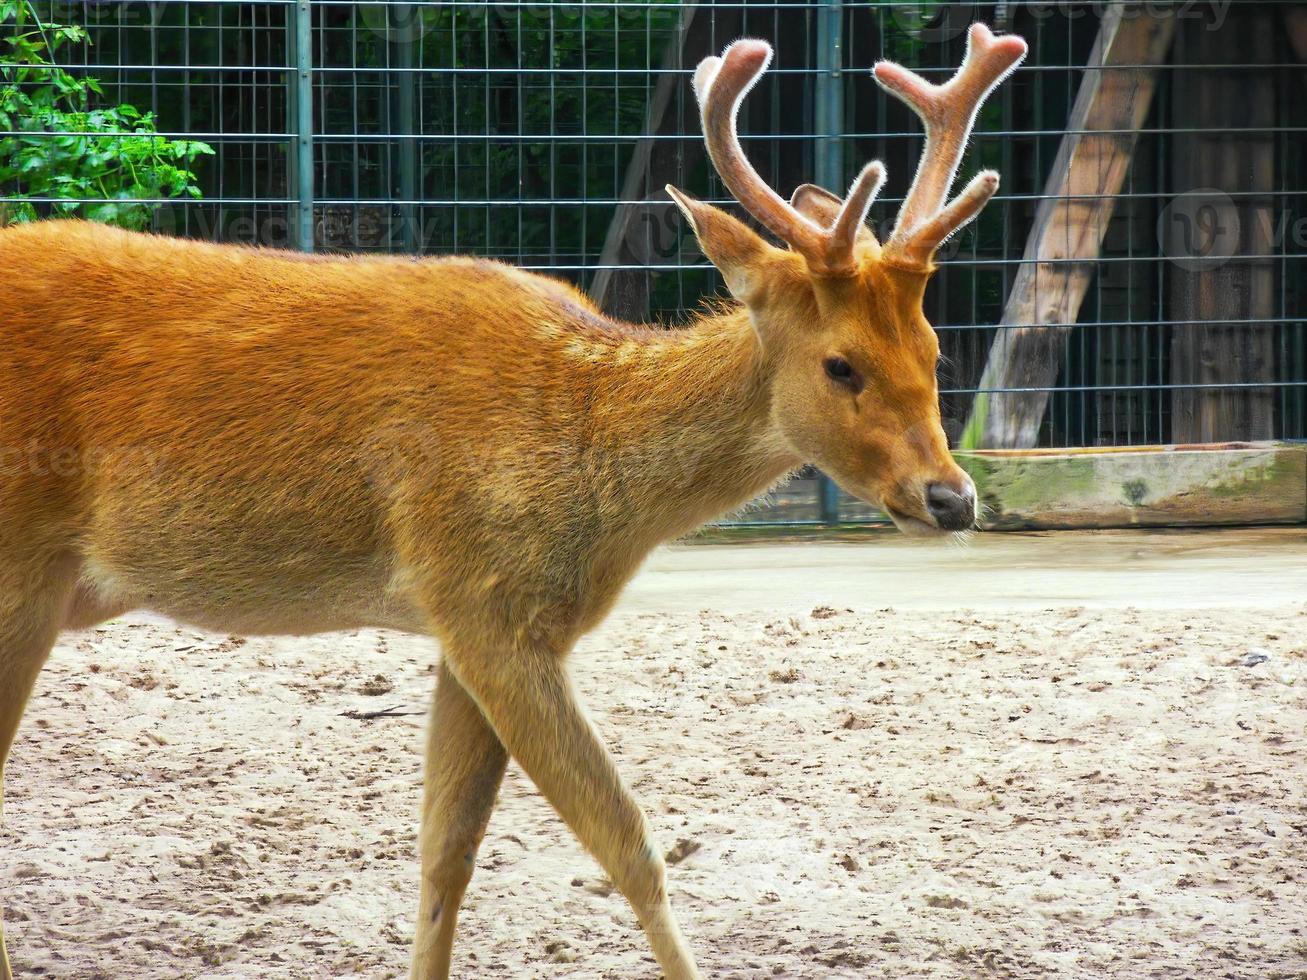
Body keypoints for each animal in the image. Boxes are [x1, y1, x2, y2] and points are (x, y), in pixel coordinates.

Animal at [0, 23, 1019, 980]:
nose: (952, 498)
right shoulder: (489, 604)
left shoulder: (469, 619)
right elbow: (628, 844)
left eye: (934, 350)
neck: (597, 482)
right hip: (21, 563)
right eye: (840, 364)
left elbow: (446, 853)